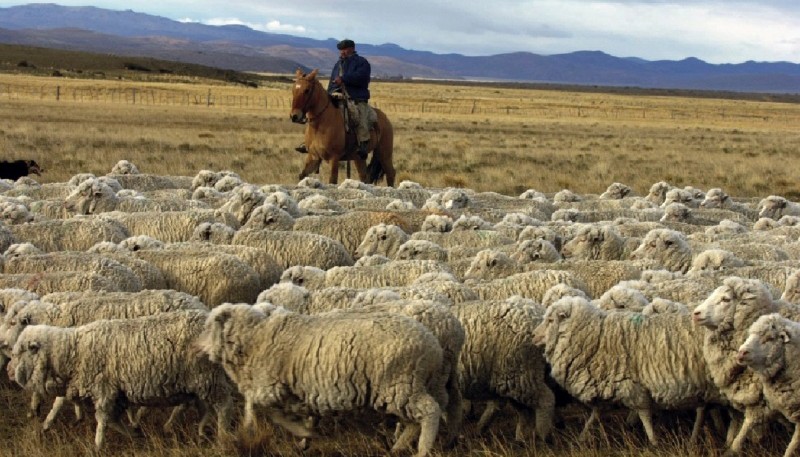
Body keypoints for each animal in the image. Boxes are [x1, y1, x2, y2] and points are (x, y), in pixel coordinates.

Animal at [10, 312, 233, 448]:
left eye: (23, 351)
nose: (10, 373)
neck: (73, 351)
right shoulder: (115, 394)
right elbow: (113, 420)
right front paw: (134, 434)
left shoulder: (104, 390)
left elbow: (102, 420)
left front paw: (97, 445)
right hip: (199, 383)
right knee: (204, 407)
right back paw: (200, 430)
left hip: (209, 378)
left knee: (223, 407)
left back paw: (222, 437)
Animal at [536, 296, 720, 446]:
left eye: (551, 320)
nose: (533, 335)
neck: (597, 337)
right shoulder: (605, 384)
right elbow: (596, 413)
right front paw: (582, 436)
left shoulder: (633, 387)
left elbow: (644, 415)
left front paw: (653, 442)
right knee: (703, 409)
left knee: (703, 410)